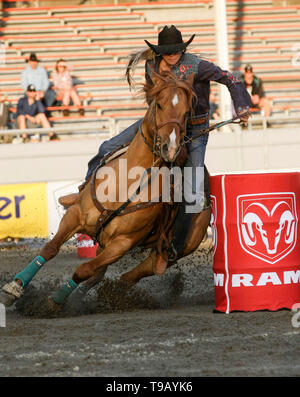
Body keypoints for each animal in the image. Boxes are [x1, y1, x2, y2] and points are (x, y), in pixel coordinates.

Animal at [0, 72, 211, 308]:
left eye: (186, 112)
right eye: (159, 104)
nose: (171, 148)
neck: (126, 183)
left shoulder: (122, 244)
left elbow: (83, 270)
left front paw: (55, 301)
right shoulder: (75, 215)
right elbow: (50, 249)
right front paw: (14, 287)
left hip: (172, 251)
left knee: (127, 276)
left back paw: (109, 296)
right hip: (103, 242)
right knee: (101, 275)